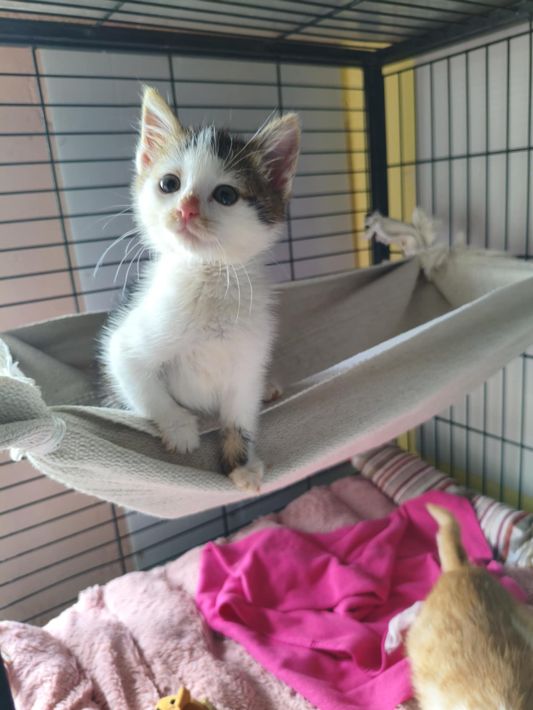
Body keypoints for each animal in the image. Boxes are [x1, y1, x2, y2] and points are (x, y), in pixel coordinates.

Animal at [99, 86, 300, 492]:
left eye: (225, 195)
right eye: (169, 184)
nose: (186, 209)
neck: (207, 277)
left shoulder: (248, 361)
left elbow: (240, 414)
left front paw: (242, 463)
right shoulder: (124, 347)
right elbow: (144, 390)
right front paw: (180, 431)